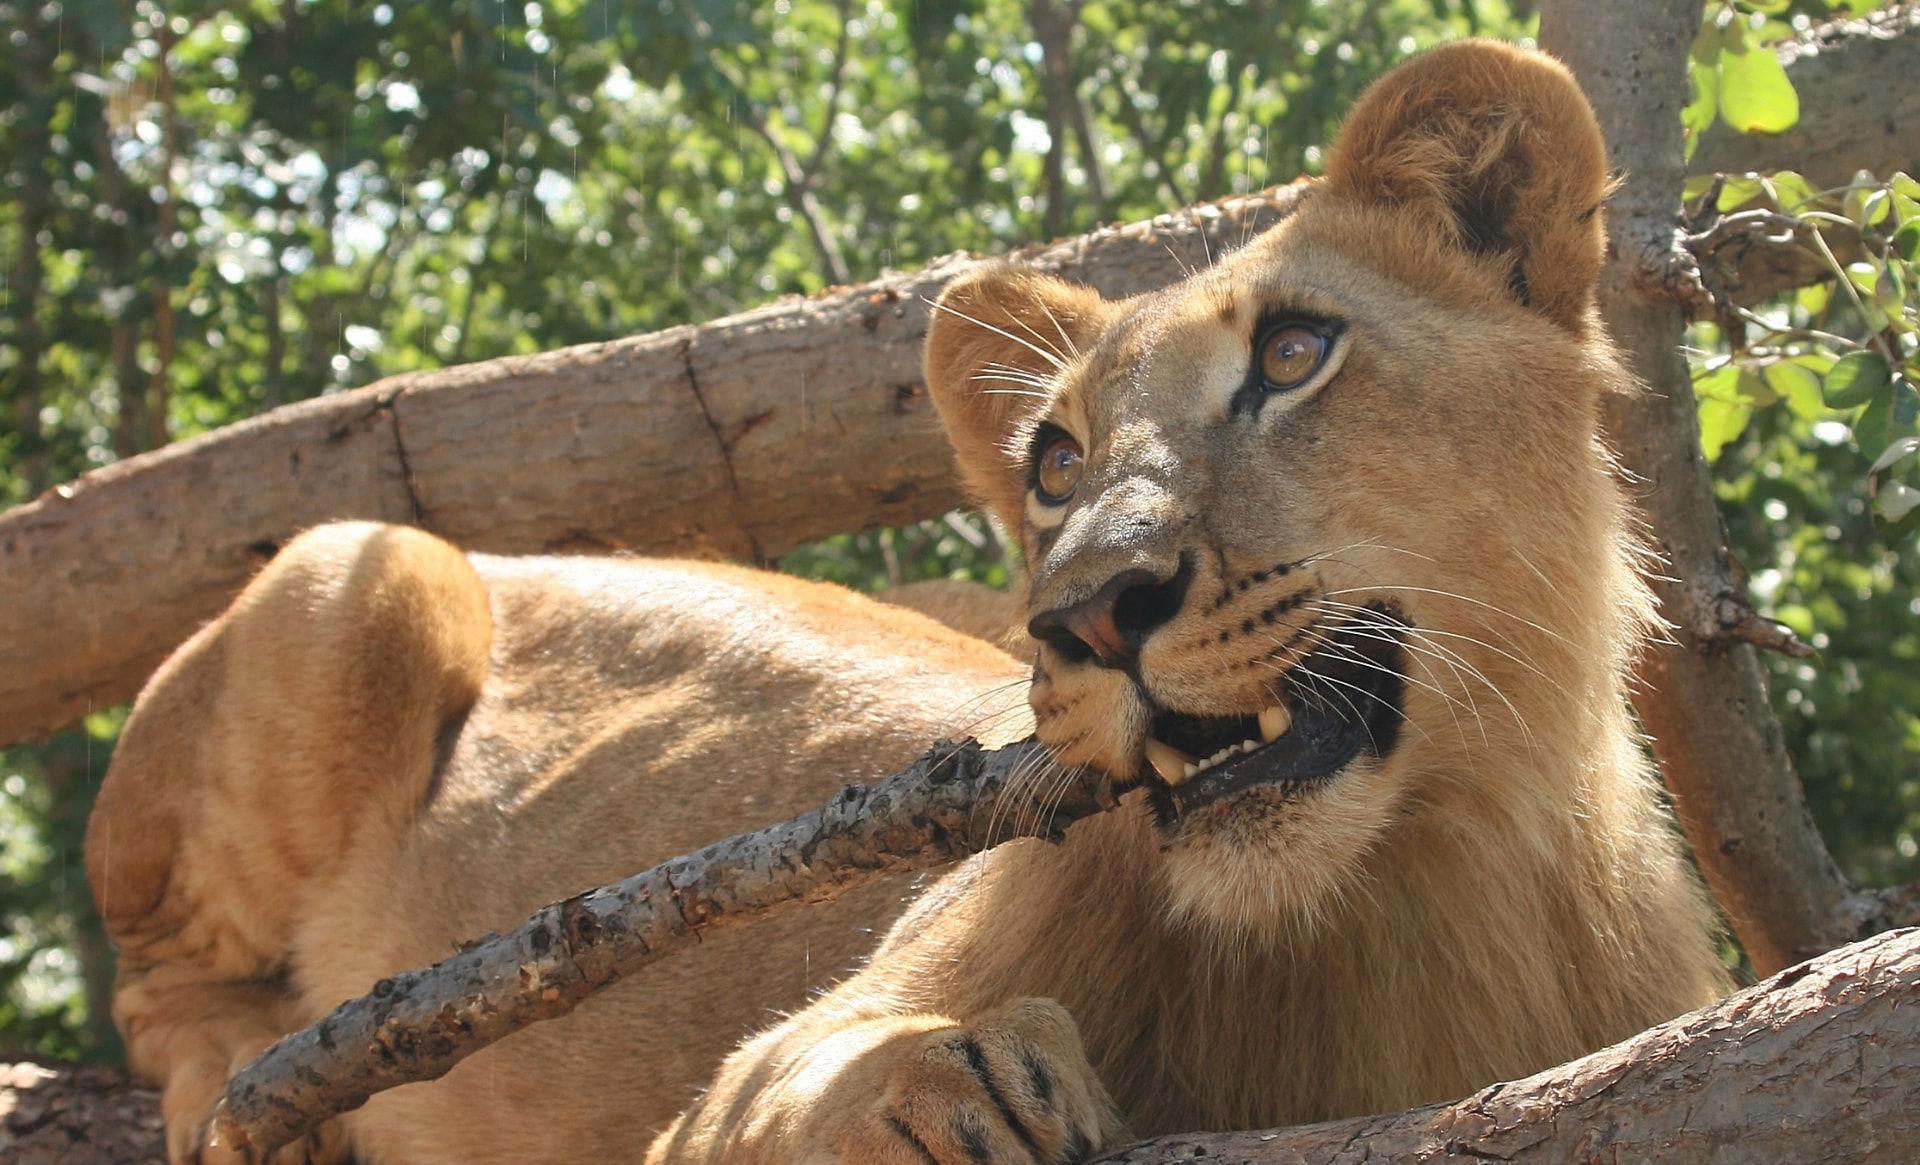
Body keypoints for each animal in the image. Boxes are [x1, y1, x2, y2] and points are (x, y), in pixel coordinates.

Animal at [86, 39, 1727, 1165]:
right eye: (1056, 463)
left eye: (1292, 355)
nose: (1086, 614)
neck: (1423, 887)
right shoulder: (733, 1097)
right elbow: (812, 1077)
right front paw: (961, 1084)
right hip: (368, 564)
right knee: (154, 989)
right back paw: (251, 1094)